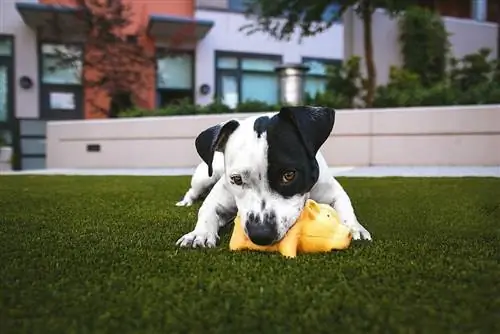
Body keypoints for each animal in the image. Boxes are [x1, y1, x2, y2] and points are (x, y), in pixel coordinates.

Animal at [176, 106, 372, 248]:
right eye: (237, 179)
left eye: (289, 175)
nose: (260, 234)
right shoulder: (218, 198)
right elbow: (206, 211)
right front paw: (199, 234)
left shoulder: (333, 191)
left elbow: (346, 208)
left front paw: (355, 228)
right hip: (204, 177)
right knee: (193, 190)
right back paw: (186, 202)